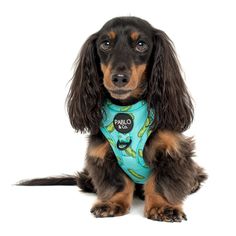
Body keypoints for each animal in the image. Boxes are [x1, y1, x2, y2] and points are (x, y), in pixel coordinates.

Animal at [18, 17, 206, 223]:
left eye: (141, 44)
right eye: (105, 44)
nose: (119, 78)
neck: (127, 109)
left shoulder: (172, 149)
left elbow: (160, 182)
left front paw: (163, 207)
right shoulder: (101, 152)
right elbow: (119, 182)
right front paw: (112, 203)